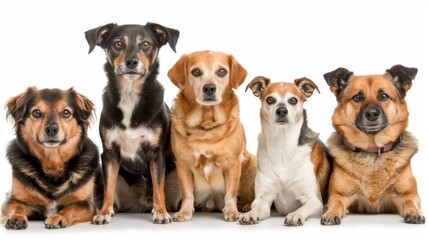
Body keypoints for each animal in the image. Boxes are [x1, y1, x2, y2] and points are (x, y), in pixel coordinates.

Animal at [2, 87, 100, 230]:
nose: (51, 129)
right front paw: (16, 217)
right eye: (36, 113)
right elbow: (16, 206)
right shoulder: (11, 200)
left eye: (66, 113)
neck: (52, 162)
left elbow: (69, 209)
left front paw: (58, 217)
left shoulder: (86, 204)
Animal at [85, 23, 181, 225]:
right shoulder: (109, 154)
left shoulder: (156, 153)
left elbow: (158, 187)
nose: (131, 62)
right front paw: (104, 213)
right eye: (118, 44)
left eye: (145, 44)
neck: (130, 95)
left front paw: (161, 212)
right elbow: (108, 189)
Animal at [166, 50, 254, 221]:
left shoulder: (233, 164)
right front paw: (185, 211)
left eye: (222, 71)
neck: (206, 127)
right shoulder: (183, 164)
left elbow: (231, 192)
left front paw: (231, 211)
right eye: (196, 72)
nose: (209, 88)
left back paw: (246, 206)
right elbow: (187, 193)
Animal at [320, 64, 424, 225]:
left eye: (384, 96)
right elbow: (335, 203)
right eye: (357, 97)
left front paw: (414, 212)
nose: (372, 114)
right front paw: (331, 213)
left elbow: (410, 202)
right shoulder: (339, 194)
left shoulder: (408, 194)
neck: (372, 152)